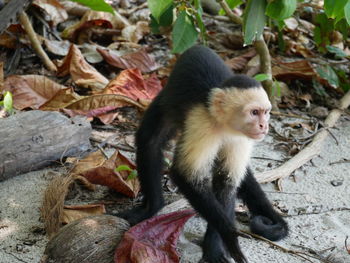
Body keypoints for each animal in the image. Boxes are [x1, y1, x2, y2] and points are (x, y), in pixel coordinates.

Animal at [117, 46, 288, 263]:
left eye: (266, 112)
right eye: (254, 112)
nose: (264, 126)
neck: (225, 125)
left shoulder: (241, 139)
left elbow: (226, 181)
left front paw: (215, 246)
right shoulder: (202, 123)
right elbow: (184, 175)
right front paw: (229, 235)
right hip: (166, 97)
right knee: (150, 141)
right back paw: (153, 207)